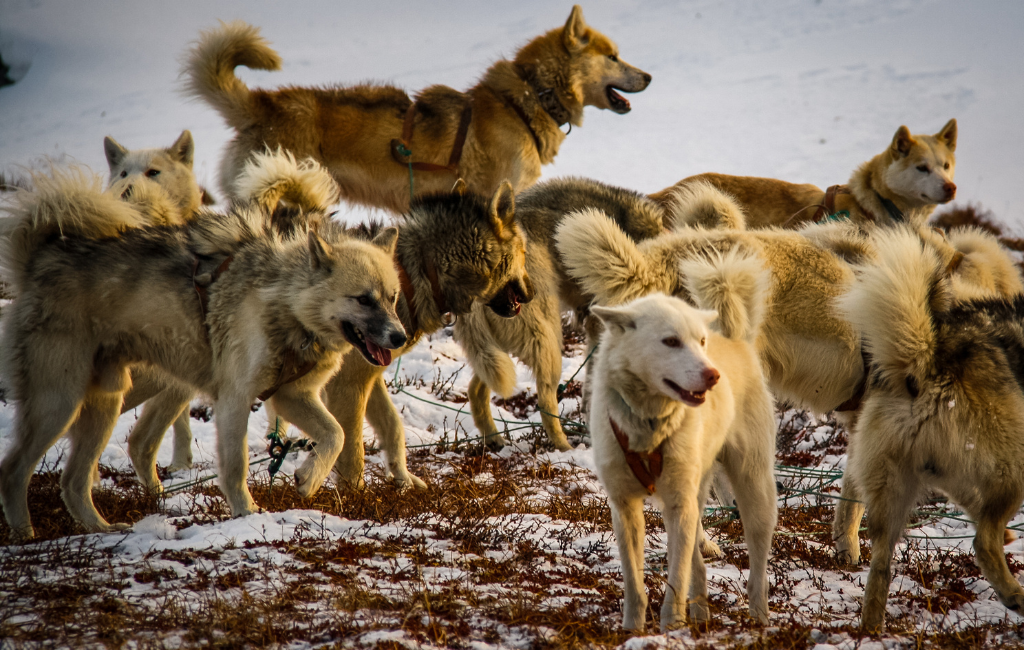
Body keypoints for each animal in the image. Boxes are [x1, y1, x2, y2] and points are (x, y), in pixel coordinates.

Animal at [268, 180, 536, 491]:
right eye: (524, 253)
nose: (533, 293)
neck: (418, 274)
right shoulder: (348, 385)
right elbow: (352, 452)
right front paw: (356, 498)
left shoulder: (370, 376)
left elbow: (394, 427)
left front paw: (403, 479)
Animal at [585, 248, 774, 630]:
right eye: (671, 341)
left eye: (700, 342)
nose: (713, 375)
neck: (649, 424)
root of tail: (736, 339)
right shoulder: (625, 507)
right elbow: (635, 580)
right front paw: (632, 629)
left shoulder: (677, 507)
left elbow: (676, 577)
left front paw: (670, 627)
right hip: (696, 496)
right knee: (697, 563)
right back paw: (700, 614)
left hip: (752, 488)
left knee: (756, 565)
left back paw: (758, 617)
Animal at [843, 227, 1024, 630]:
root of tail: (928, 361)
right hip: (1012, 469)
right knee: (983, 542)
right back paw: (1014, 594)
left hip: (896, 487)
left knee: (880, 566)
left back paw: (870, 632)